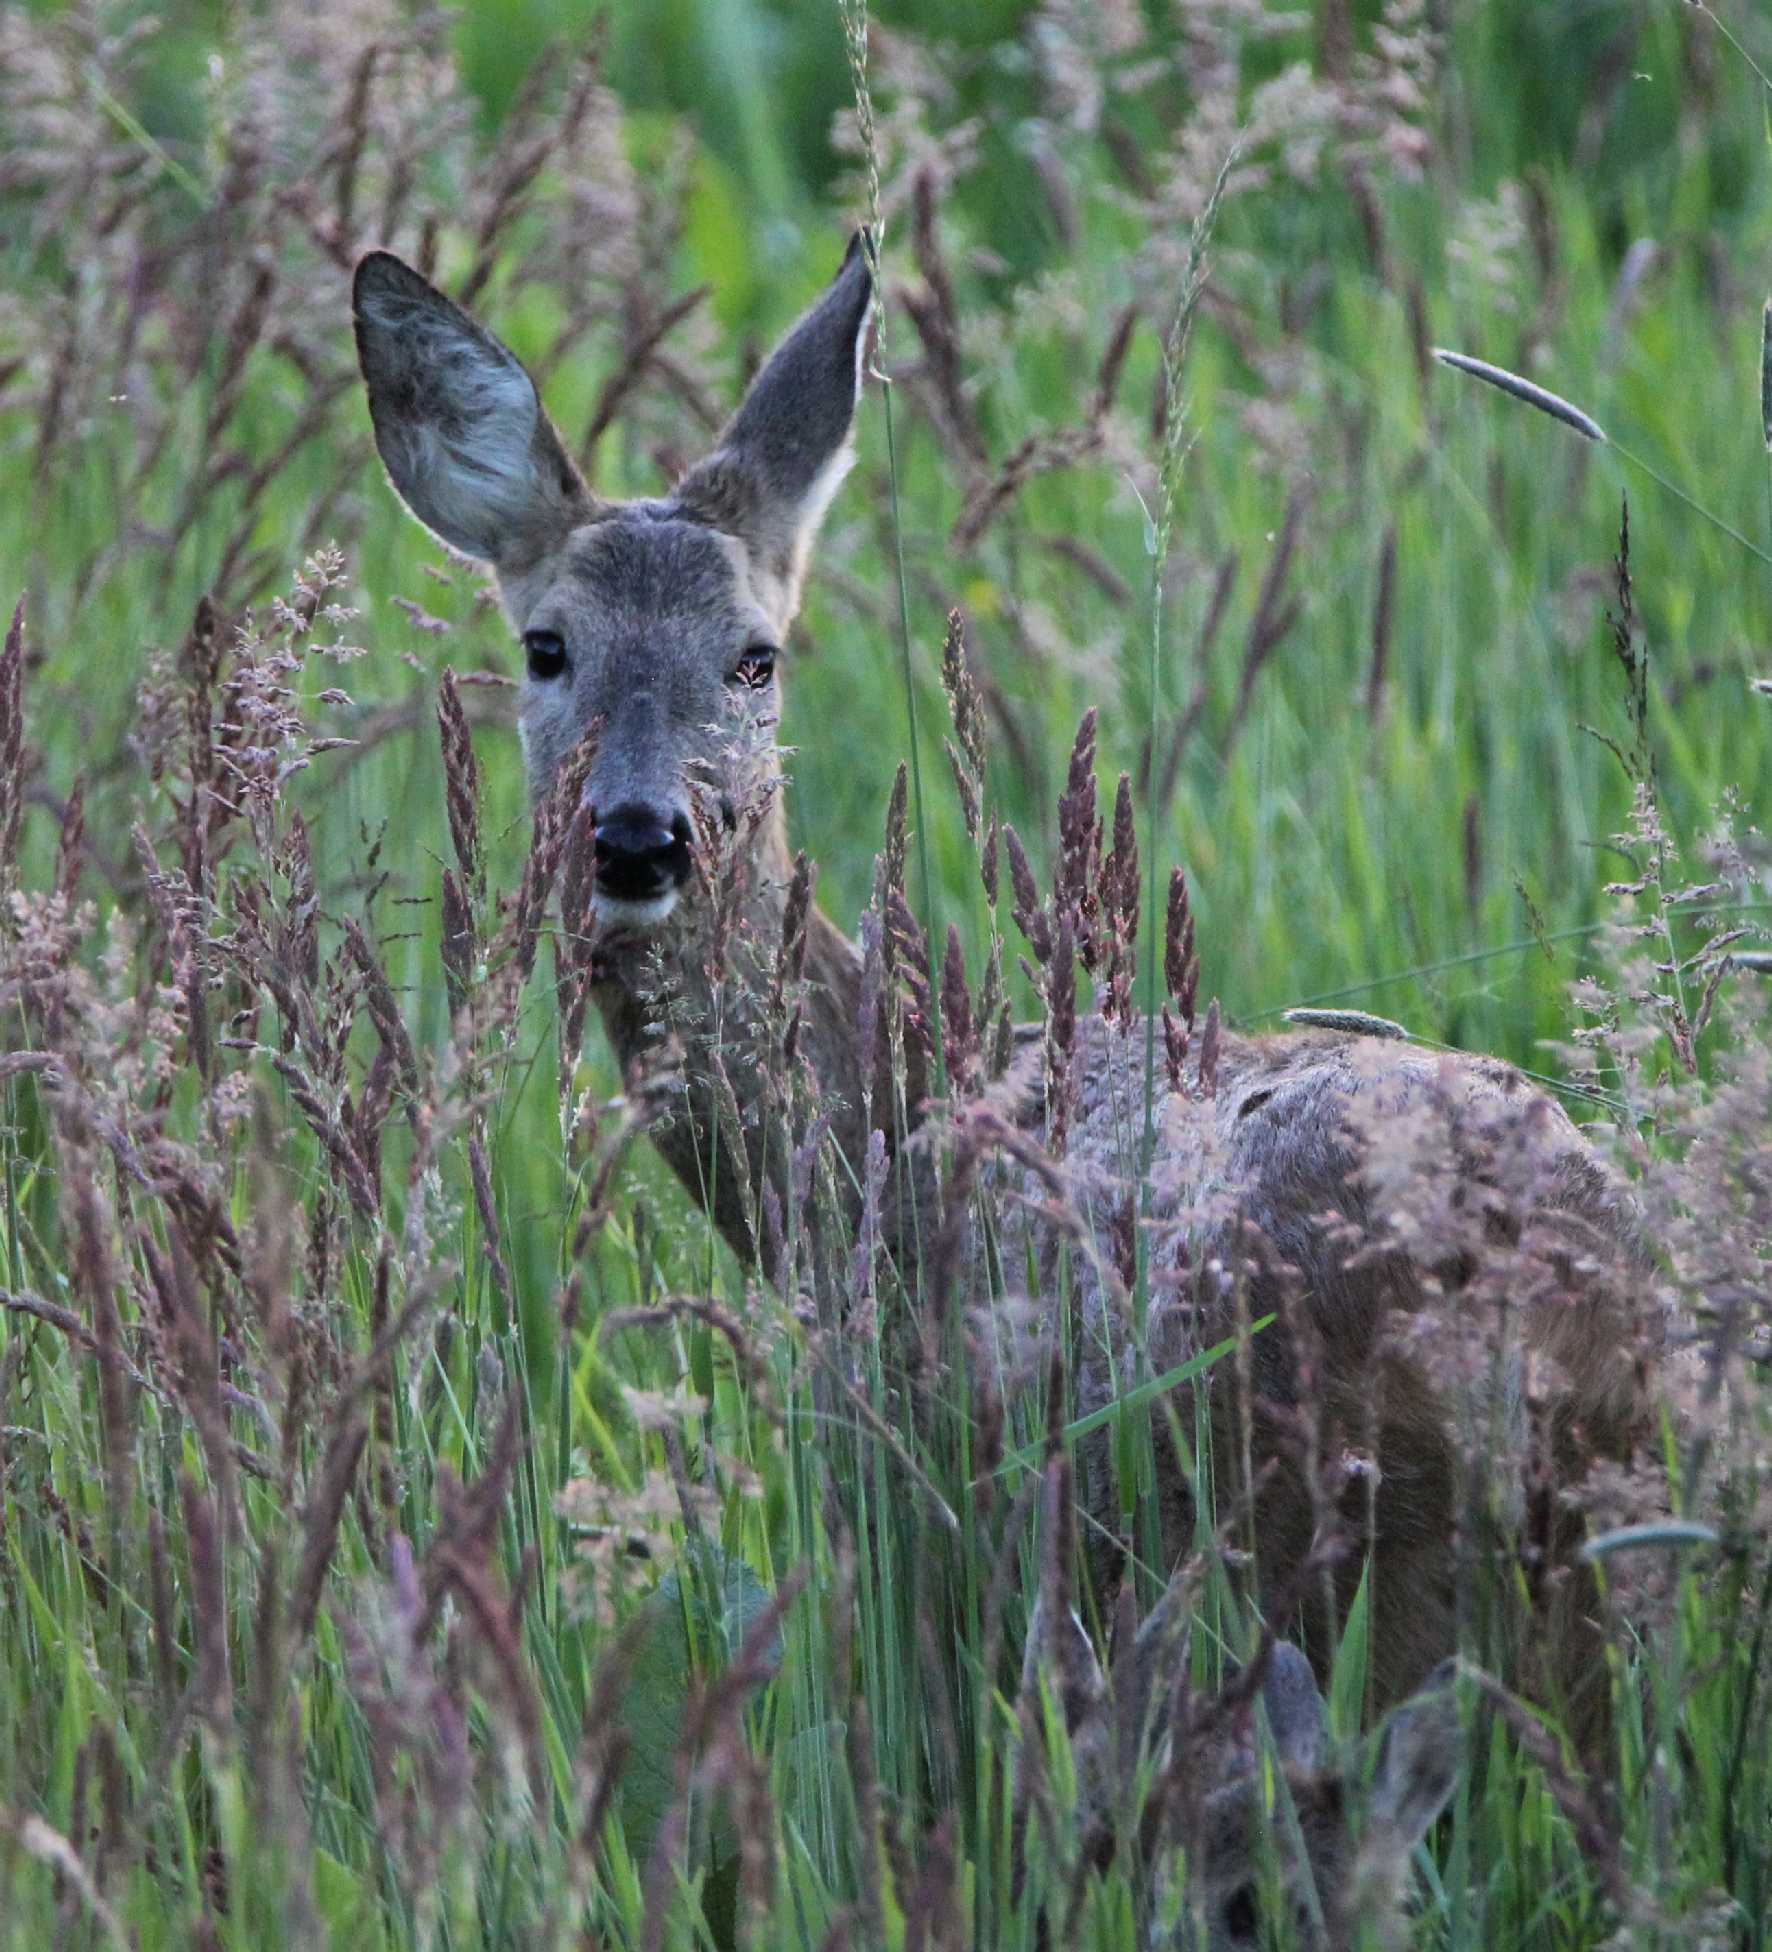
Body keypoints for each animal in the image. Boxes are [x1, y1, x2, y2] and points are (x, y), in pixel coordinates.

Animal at [357, 236, 1662, 1764]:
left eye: (756, 654)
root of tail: (1536, 1282)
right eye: (546, 645)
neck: (854, 1143)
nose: (638, 837)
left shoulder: (924, 1497)